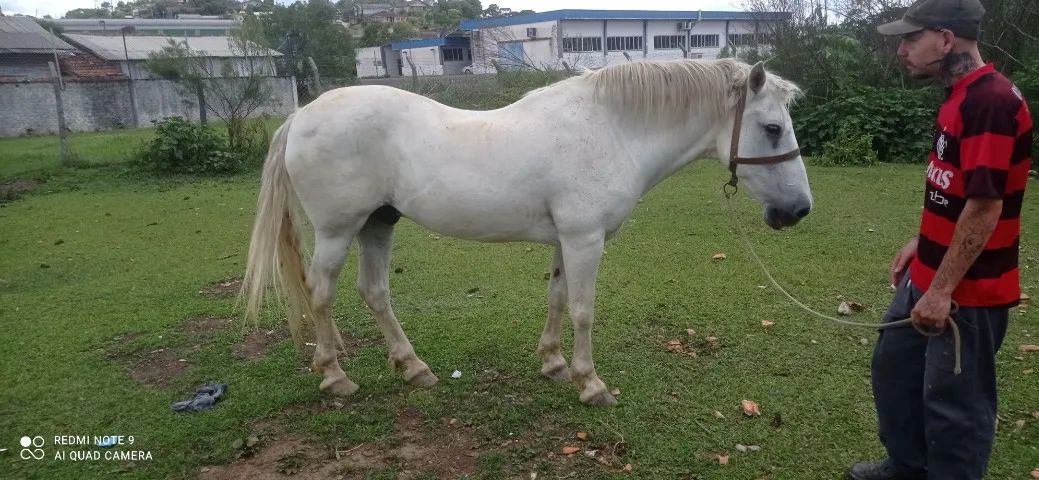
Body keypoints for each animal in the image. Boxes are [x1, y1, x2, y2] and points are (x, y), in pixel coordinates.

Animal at [240, 58, 812, 406]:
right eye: (772, 128)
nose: (799, 210)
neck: (610, 130)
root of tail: (300, 116)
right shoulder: (585, 239)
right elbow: (583, 309)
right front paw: (591, 384)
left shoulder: (566, 240)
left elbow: (557, 298)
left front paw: (554, 364)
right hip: (338, 230)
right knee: (321, 292)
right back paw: (335, 375)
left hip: (378, 223)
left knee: (374, 291)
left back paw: (413, 367)